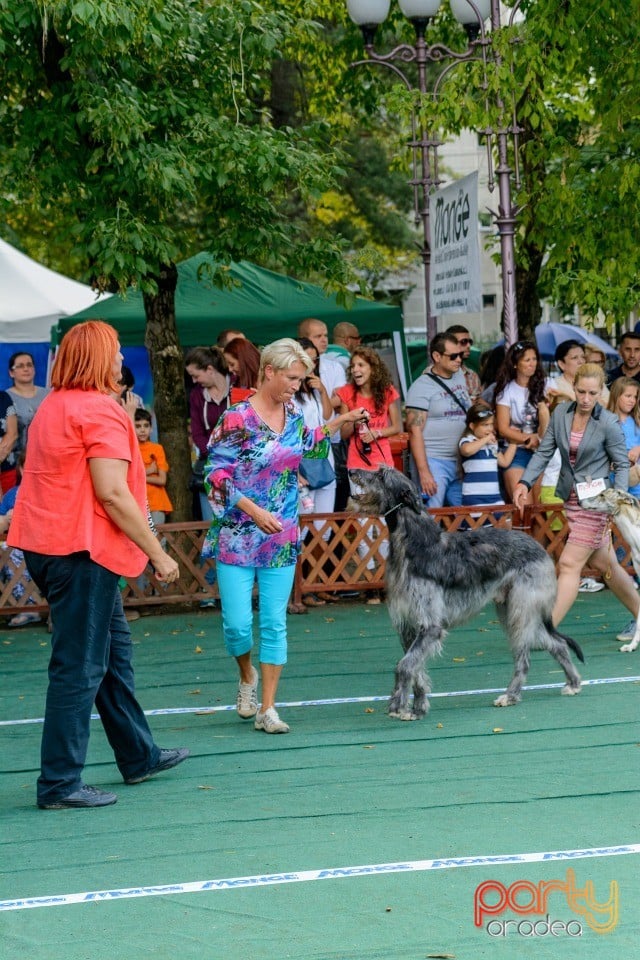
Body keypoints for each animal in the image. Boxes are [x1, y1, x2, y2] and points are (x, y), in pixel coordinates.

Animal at [350, 464, 584, 720]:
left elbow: (404, 665)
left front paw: (397, 706)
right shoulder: (408, 626)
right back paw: (573, 683)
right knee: (557, 644)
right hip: (512, 610)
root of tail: (540, 547)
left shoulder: (430, 626)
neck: (413, 542)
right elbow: (415, 668)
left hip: (521, 611)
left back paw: (510, 696)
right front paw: (418, 708)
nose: (350, 471)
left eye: (381, 474)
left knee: (525, 658)